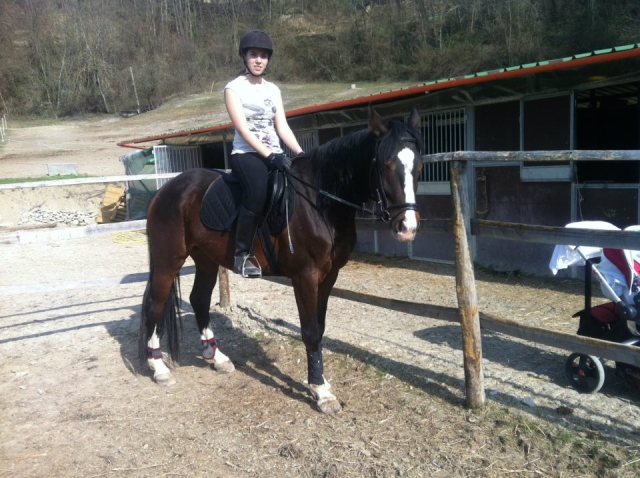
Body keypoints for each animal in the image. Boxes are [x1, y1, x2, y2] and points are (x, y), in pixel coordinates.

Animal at [139, 105, 423, 415]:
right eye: (385, 163)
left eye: (419, 165)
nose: (407, 228)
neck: (319, 201)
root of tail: (166, 190)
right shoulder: (305, 276)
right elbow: (310, 331)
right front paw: (321, 392)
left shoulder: (329, 276)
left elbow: (320, 328)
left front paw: (321, 381)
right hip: (168, 260)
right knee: (155, 304)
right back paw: (158, 368)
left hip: (205, 259)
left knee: (199, 299)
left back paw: (216, 357)